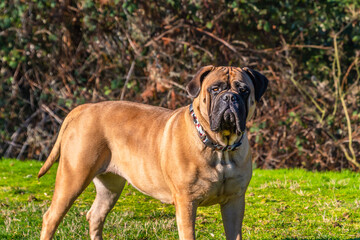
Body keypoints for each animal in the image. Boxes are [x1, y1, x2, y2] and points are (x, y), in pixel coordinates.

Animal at [38, 65, 268, 240]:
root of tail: (84, 108)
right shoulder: (186, 202)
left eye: (244, 90)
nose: (229, 97)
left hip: (110, 187)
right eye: (215, 89)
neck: (220, 148)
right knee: (51, 217)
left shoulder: (235, 201)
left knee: (95, 216)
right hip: (73, 177)